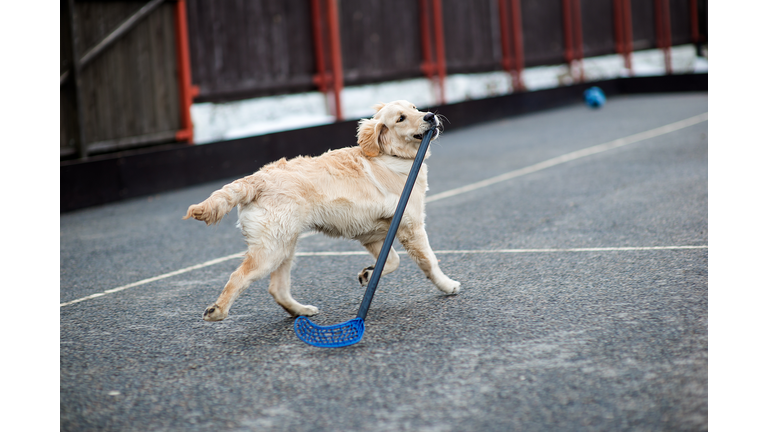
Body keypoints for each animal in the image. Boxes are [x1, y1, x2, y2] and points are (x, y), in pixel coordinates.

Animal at [184, 98, 462, 320]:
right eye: (401, 118)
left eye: (415, 108)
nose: (430, 116)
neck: (391, 156)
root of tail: (255, 180)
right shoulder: (411, 227)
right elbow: (429, 261)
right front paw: (447, 285)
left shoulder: (372, 234)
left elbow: (391, 260)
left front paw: (368, 274)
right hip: (272, 249)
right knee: (238, 277)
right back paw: (217, 311)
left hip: (284, 245)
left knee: (277, 289)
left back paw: (301, 311)